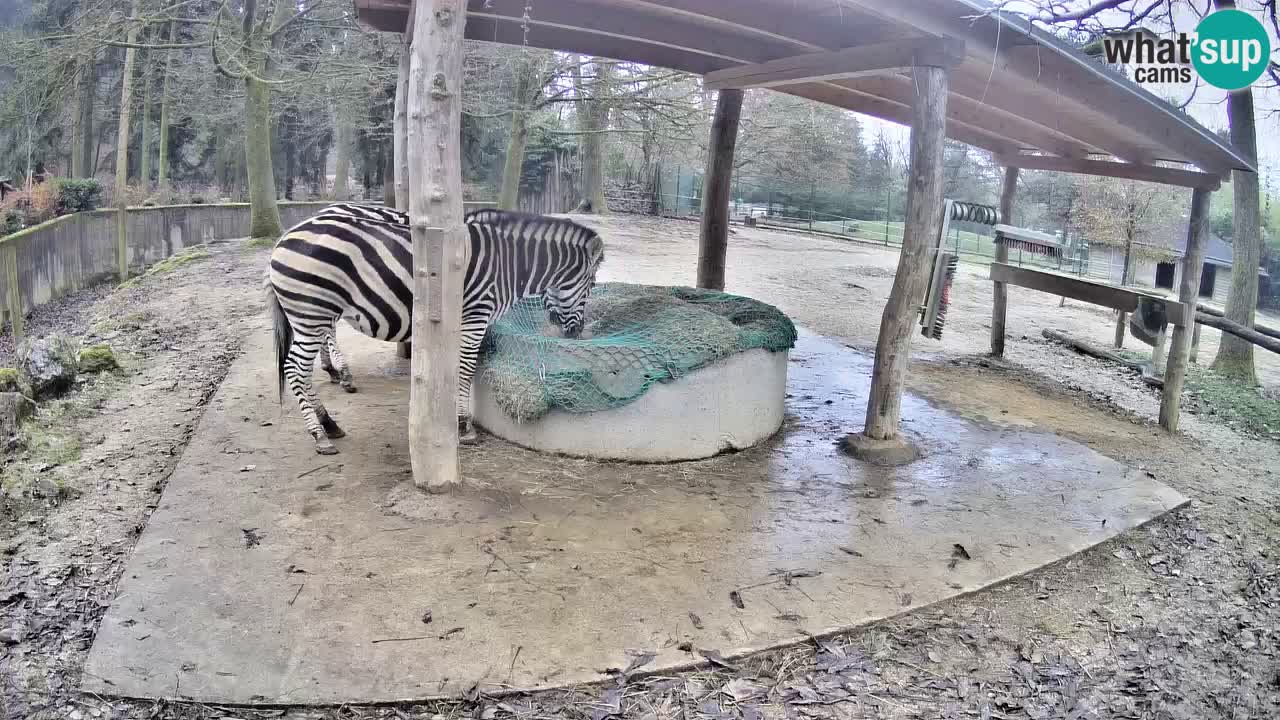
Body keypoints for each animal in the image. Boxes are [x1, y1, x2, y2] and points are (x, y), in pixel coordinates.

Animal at [266, 208, 605, 455]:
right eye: (591, 286)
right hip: (312, 312)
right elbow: (466, 369)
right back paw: (319, 434)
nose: (576, 334)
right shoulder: (475, 316)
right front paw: (464, 426)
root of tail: (284, 237)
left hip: (312, 316)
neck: (507, 265)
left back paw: (329, 422)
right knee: (294, 369)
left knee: (302, 369)